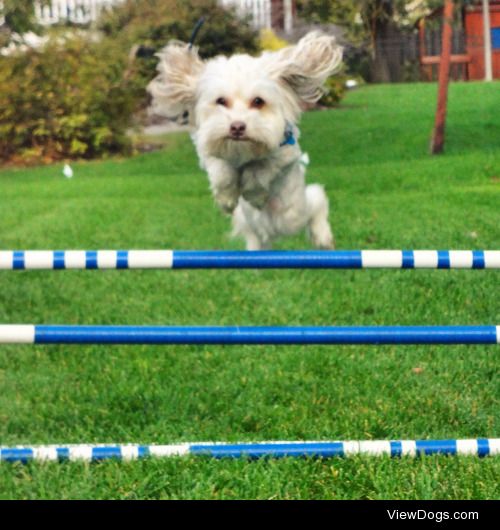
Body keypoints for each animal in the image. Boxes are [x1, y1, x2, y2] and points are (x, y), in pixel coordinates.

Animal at [148, 32, 342, 250]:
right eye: (221, 100)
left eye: (258, 101)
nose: (237, 127)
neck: (241, 151)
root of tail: (270, 231)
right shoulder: (208, 151)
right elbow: (222, 171)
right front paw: (226, 200)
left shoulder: (285, 154)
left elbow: (259, 169)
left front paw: (254, 195)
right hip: (249, 223)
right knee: (254, 236)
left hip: (292, 213)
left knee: (317, 199)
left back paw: (323, 237)